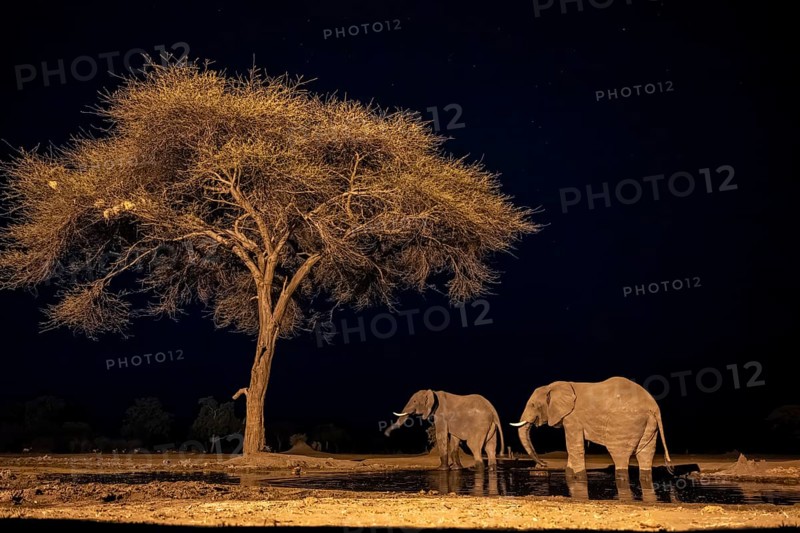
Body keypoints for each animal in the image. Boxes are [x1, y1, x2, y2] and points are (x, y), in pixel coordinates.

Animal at [511, 376, 673, 484]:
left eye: (533, 405)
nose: (543, 465)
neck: (554, 386)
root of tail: (654, 407)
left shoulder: (573, 418)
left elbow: (574, 447)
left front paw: (580, 478)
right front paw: (570, 477)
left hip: (625, 423)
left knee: (619, 454)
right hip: (649, 424)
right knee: (645, 454)